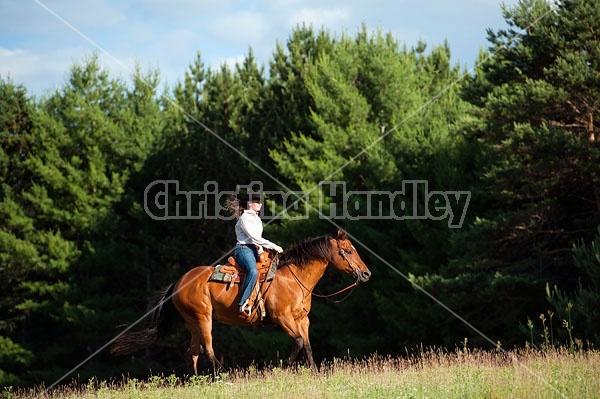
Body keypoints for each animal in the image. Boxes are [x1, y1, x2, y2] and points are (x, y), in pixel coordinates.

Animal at [108, 231, 370, 376]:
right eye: (347, 251)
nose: (366, 274)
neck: (293, 277)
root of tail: (178, 283)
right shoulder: (282, 318)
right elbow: (297, 342)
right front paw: (284, 368)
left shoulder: (301, 319)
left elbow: (307, 345)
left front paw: (314, 373)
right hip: (203, 318)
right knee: (207, 349)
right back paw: (226, 375)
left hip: (192, 322)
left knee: (192, 352)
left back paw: (196, 380)